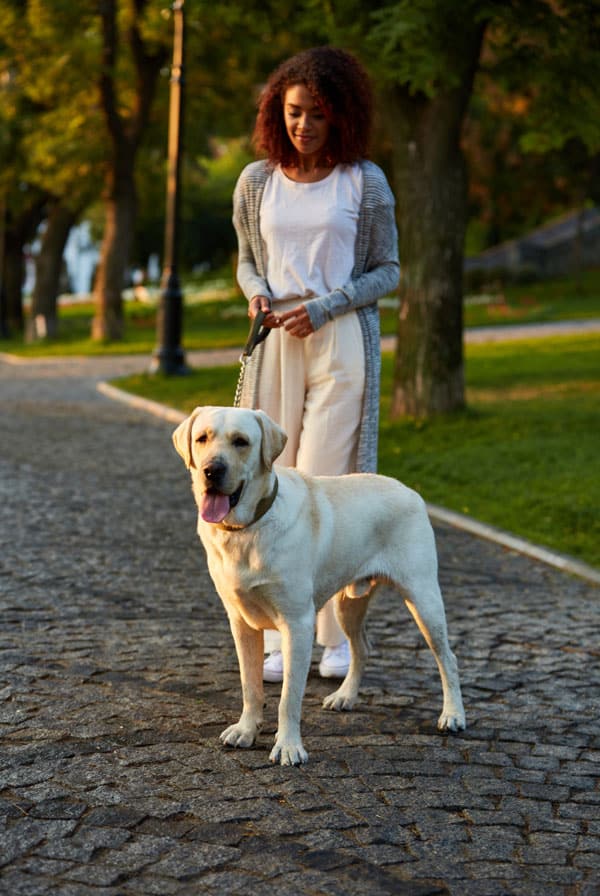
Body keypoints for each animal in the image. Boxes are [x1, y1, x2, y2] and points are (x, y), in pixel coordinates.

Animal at [171, 406, 466, 764]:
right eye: (202, 438)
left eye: (241, 441)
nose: (211, 470)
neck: (248, 529)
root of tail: (410, 490)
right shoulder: (240, 622)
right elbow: (250, 685)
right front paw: (246, 730)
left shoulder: (297, 623)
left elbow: (289, 697)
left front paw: (288, 746)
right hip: (348, 604)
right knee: (362, 648)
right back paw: (345, 696)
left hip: (423, 598)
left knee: (447, 657)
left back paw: (453, 715)